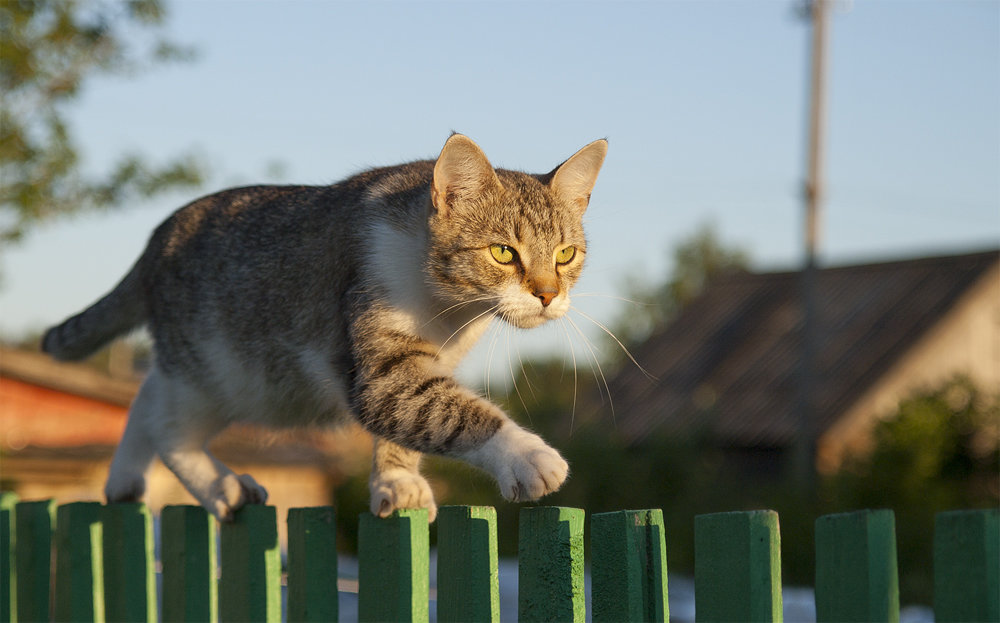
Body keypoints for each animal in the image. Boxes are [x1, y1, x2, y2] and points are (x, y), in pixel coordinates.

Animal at [41, 134, 608, 524]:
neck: (447, 309)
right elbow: (447, 408)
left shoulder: (433, 359)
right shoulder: (379, 366)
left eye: (565, 254)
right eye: (503, 252)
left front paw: (397, 480)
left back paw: (123, 478)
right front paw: (526, 455)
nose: (547, 294)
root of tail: (158, 237)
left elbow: (415, 418)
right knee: (166, 424)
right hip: (221, 369)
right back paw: (221, 485)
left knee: (147, 393)